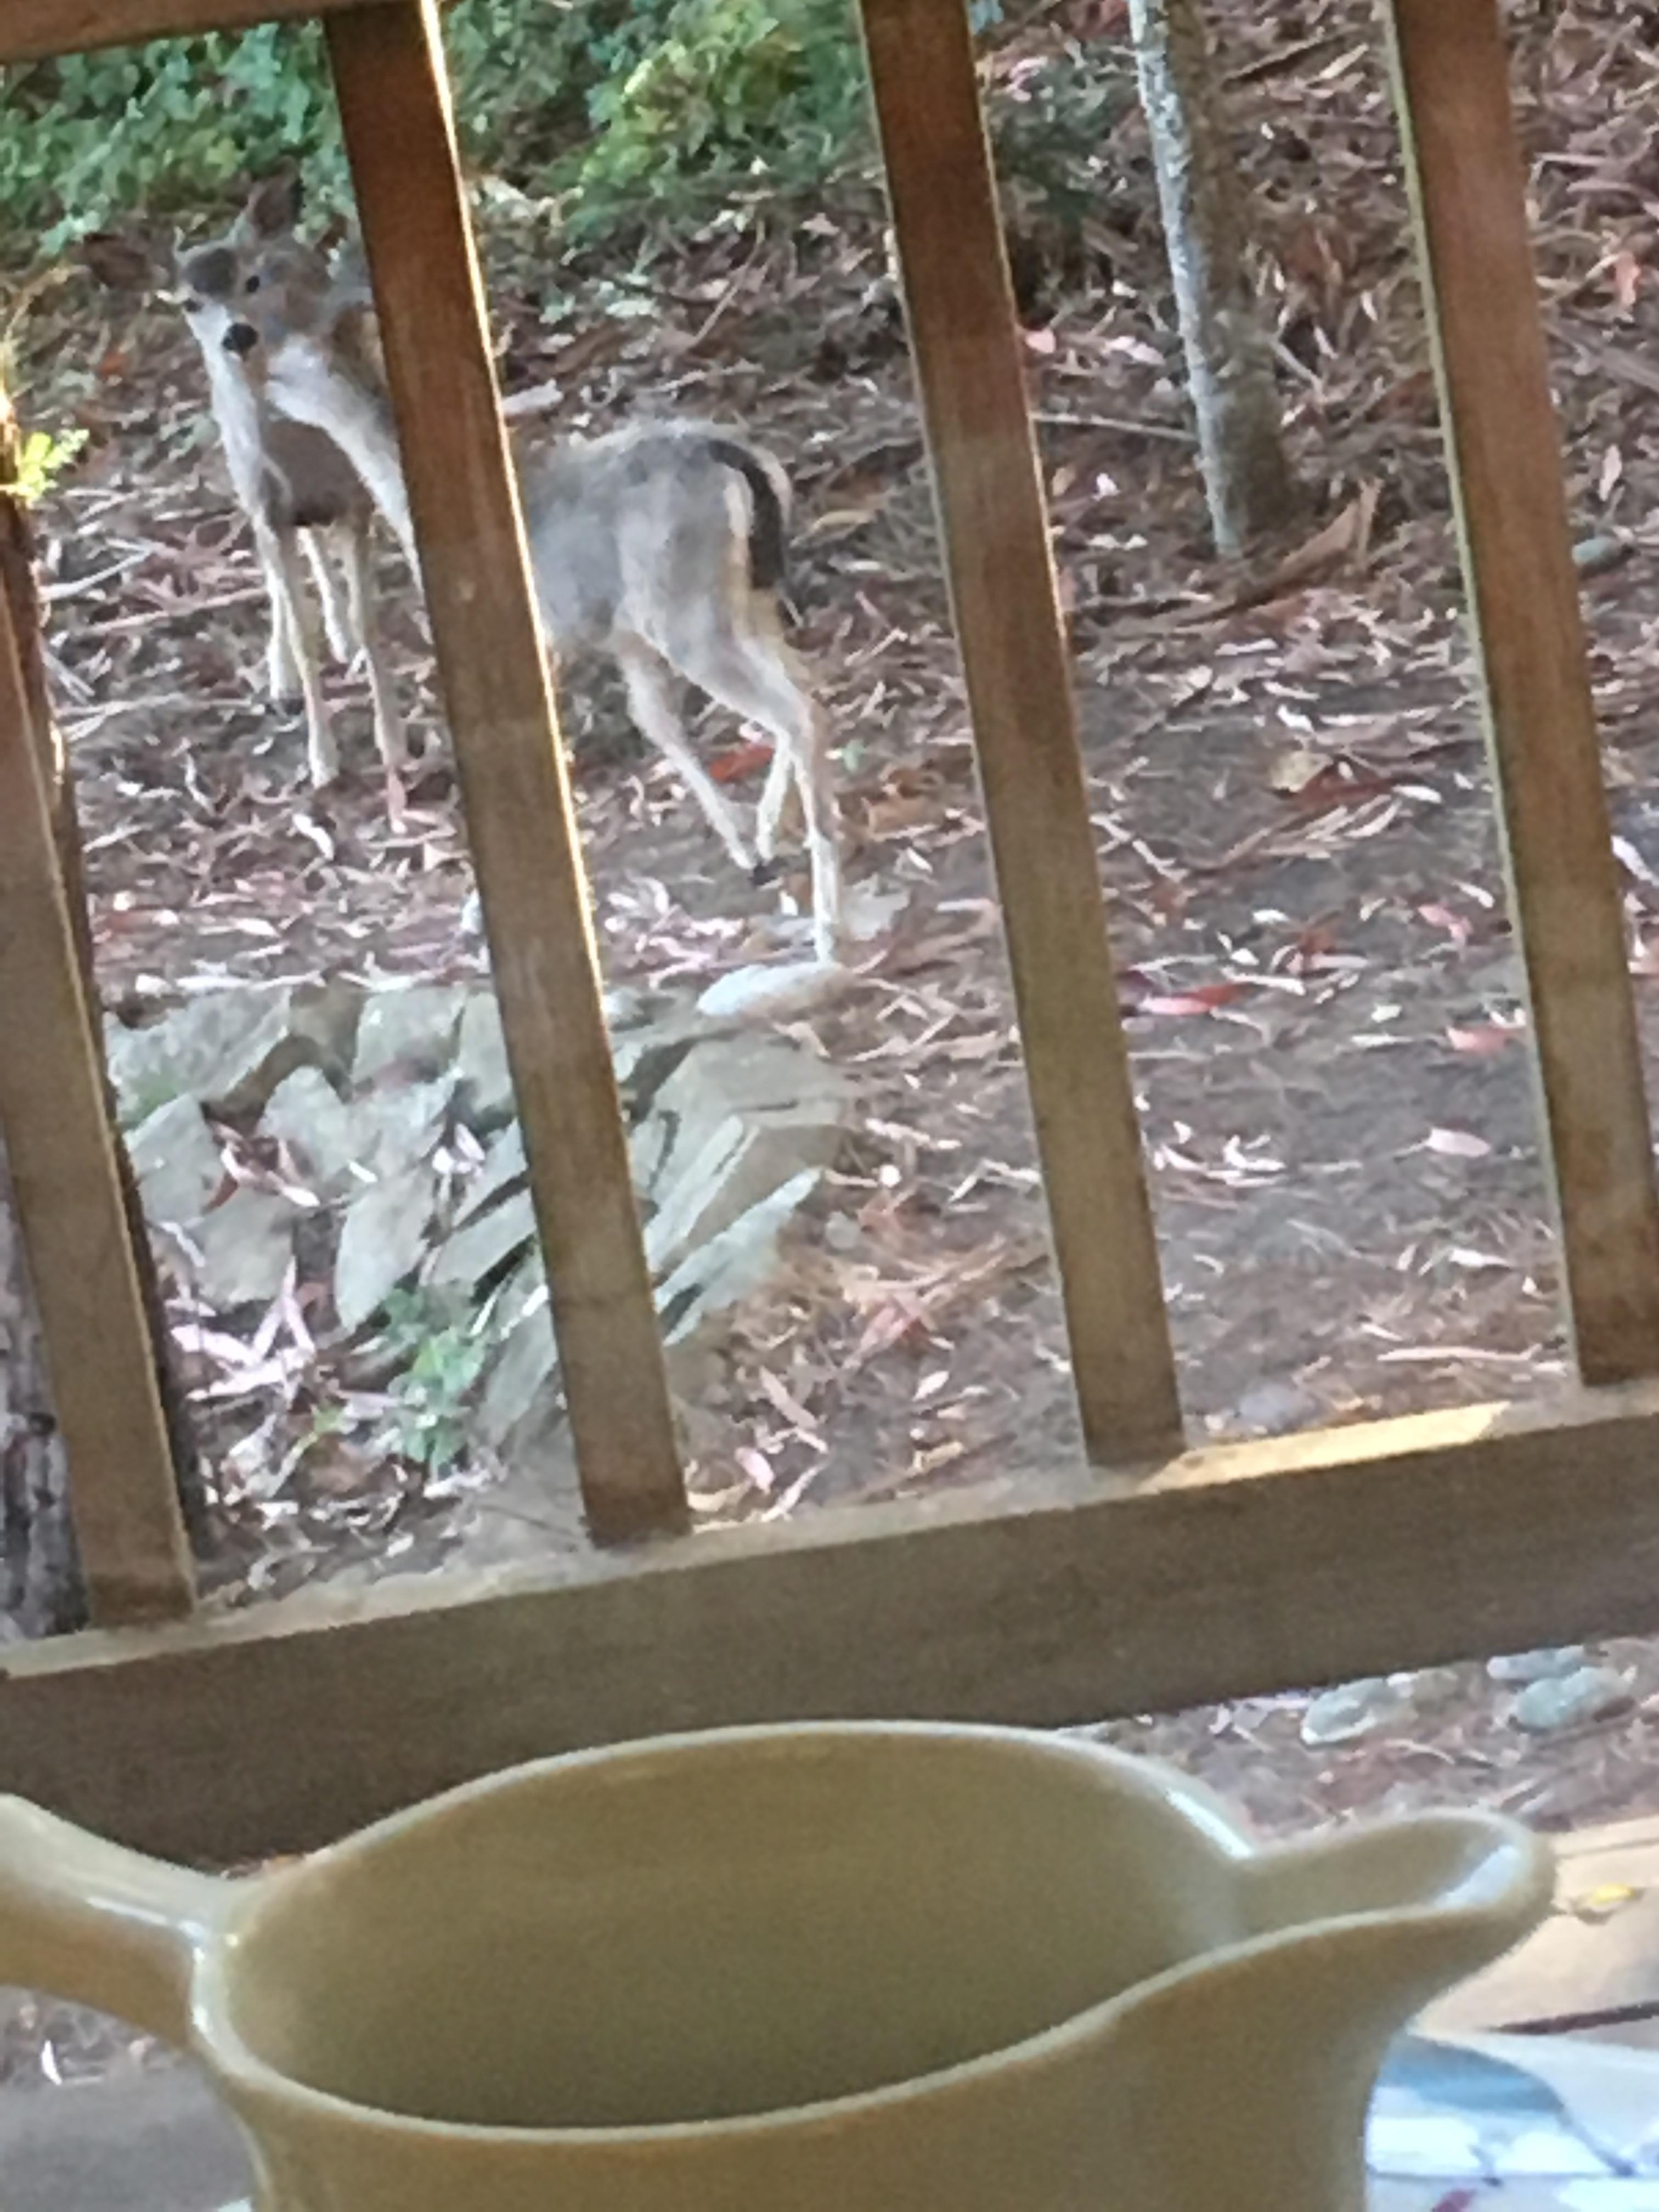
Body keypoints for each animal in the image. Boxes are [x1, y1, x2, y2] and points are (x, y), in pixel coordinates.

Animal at [174, 175, 408, 806]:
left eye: (251, 282)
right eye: (188, 303)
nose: (237, 334)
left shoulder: (354, 498)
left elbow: (369, 617)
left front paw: (390, 742)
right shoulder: (265, 505)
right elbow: (301, 630)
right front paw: (322, 760)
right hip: (249, 488)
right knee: (282, 575)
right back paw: (280, 676)